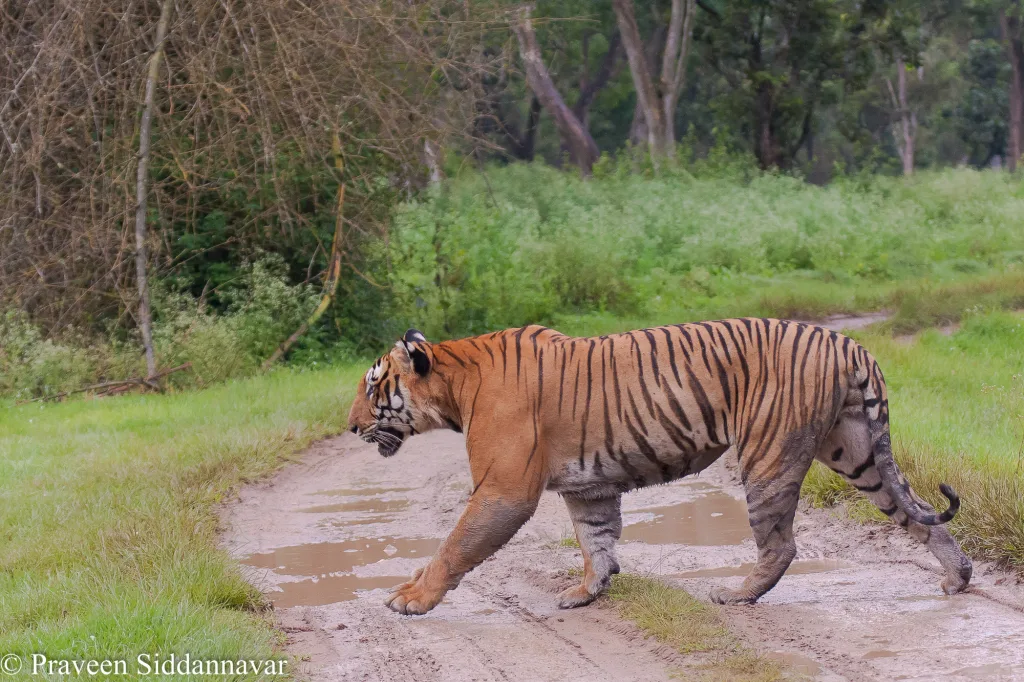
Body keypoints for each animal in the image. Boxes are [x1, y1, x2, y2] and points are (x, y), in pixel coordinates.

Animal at [347, 320, 972, 615]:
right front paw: (588, 591)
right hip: (856, 451)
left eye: (373, 387)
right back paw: (958, 576)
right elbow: (596, 541)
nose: (350, 427)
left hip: (768, 456)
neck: (455, 383)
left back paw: (737, 596)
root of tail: (848, 343)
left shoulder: (503, 489)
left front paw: (410, 599)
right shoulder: (589, 487)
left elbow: (454, 546)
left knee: (781, 544)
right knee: (917, 513)